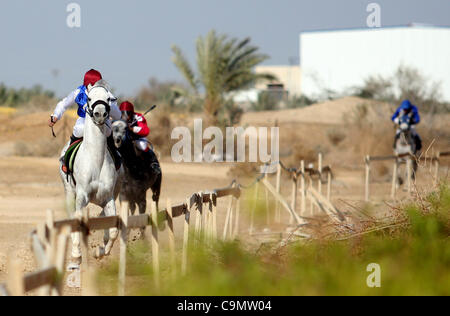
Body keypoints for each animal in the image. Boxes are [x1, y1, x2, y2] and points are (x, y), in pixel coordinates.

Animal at [60, 82, 123, 268]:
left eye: (109, 98)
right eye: (88, 98)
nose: (100, 114)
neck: (95, 160)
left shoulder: (108, 197)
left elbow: (114, 230)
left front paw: (101, 251)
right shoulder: (81, 197)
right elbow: (77, 222)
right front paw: (76, 256)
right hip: (69, 193)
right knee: (72, 217)